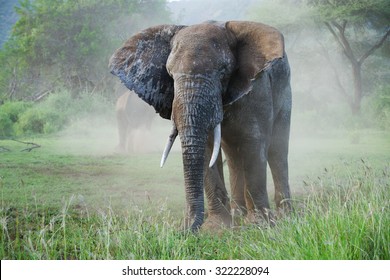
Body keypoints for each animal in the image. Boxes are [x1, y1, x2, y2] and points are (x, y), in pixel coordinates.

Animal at [108, 20, 290, 232]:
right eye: (170, 74)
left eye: (223, 72)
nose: (183, 230)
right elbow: (207, 149)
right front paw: (216, 227)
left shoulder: (257, 89)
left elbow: (253, 142)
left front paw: (259, 225)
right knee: (233, 155)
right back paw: (238, 215)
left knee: (277, 150)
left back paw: (286, 215)